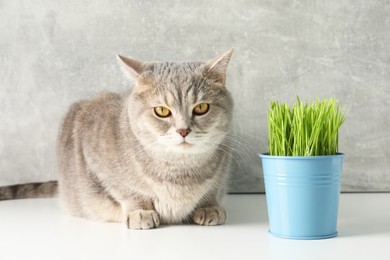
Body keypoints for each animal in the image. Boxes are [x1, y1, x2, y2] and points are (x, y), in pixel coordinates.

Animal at [0, 49, 235, 231]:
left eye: (201, 108)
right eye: (162, 111)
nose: (183, 130)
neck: (180, 171)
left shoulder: (223, 167)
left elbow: (211, 189)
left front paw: (208, 206)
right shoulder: (94, 153)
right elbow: (127, 190)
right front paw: (140, 210)